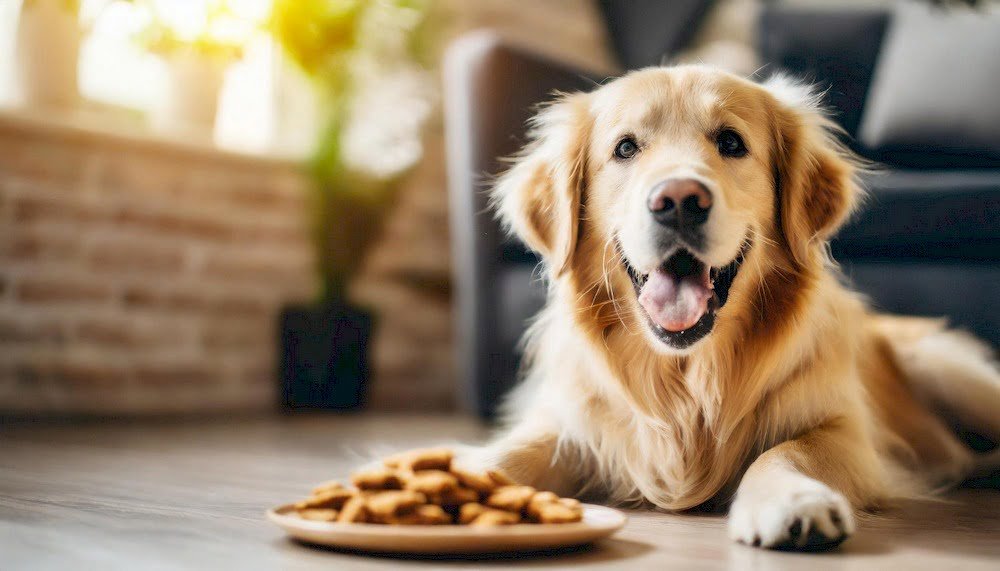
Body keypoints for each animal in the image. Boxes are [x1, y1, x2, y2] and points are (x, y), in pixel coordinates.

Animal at [470, 66, 1000, 548]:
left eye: (730, 142)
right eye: (625, 148)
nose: (678, 200)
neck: (688, 378)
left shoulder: (847, 432)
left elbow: (787, 451)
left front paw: (794, 501)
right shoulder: (573, 423)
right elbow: (507, 453)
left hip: (949, 371)